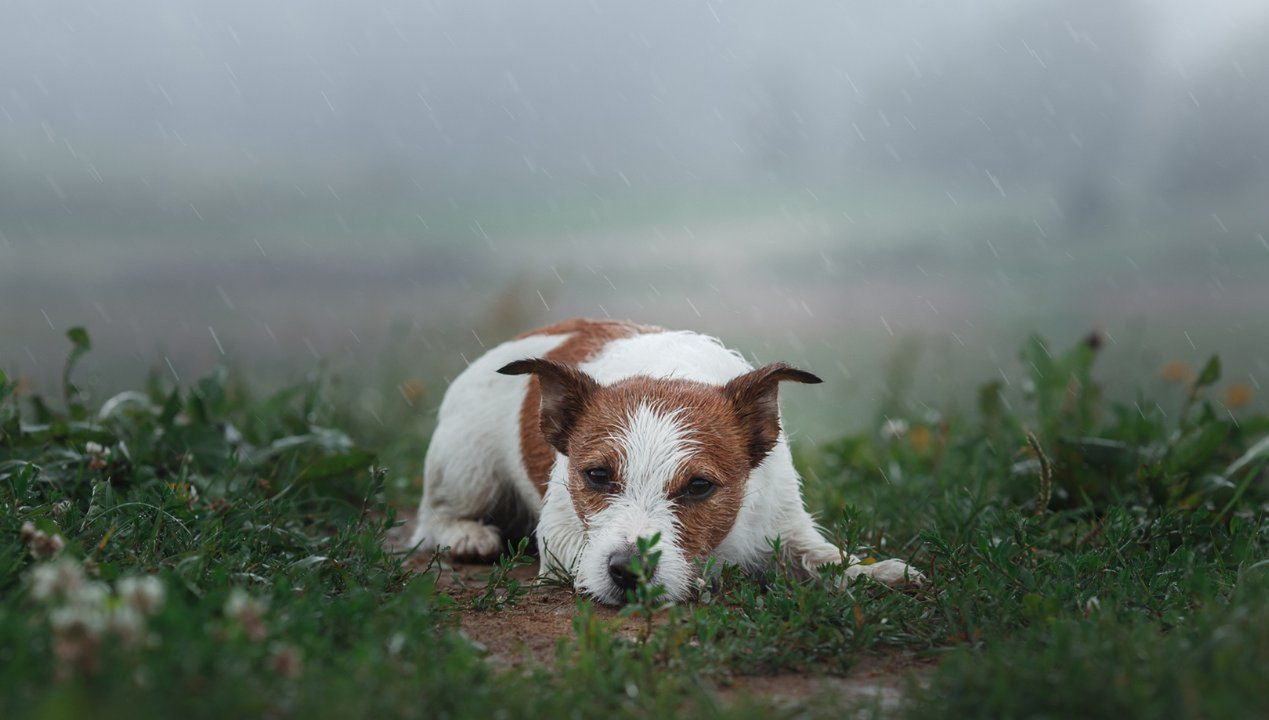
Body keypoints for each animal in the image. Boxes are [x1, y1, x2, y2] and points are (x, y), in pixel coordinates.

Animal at [413, 318, 923, 606]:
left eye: (698, 486)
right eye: (597, 475)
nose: (629, 571)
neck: (669, 373)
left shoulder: (784, 523)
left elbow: (822, 557)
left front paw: (873, 571)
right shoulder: (559, 535)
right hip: (467, 469)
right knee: (432, 516)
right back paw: (466, 534)